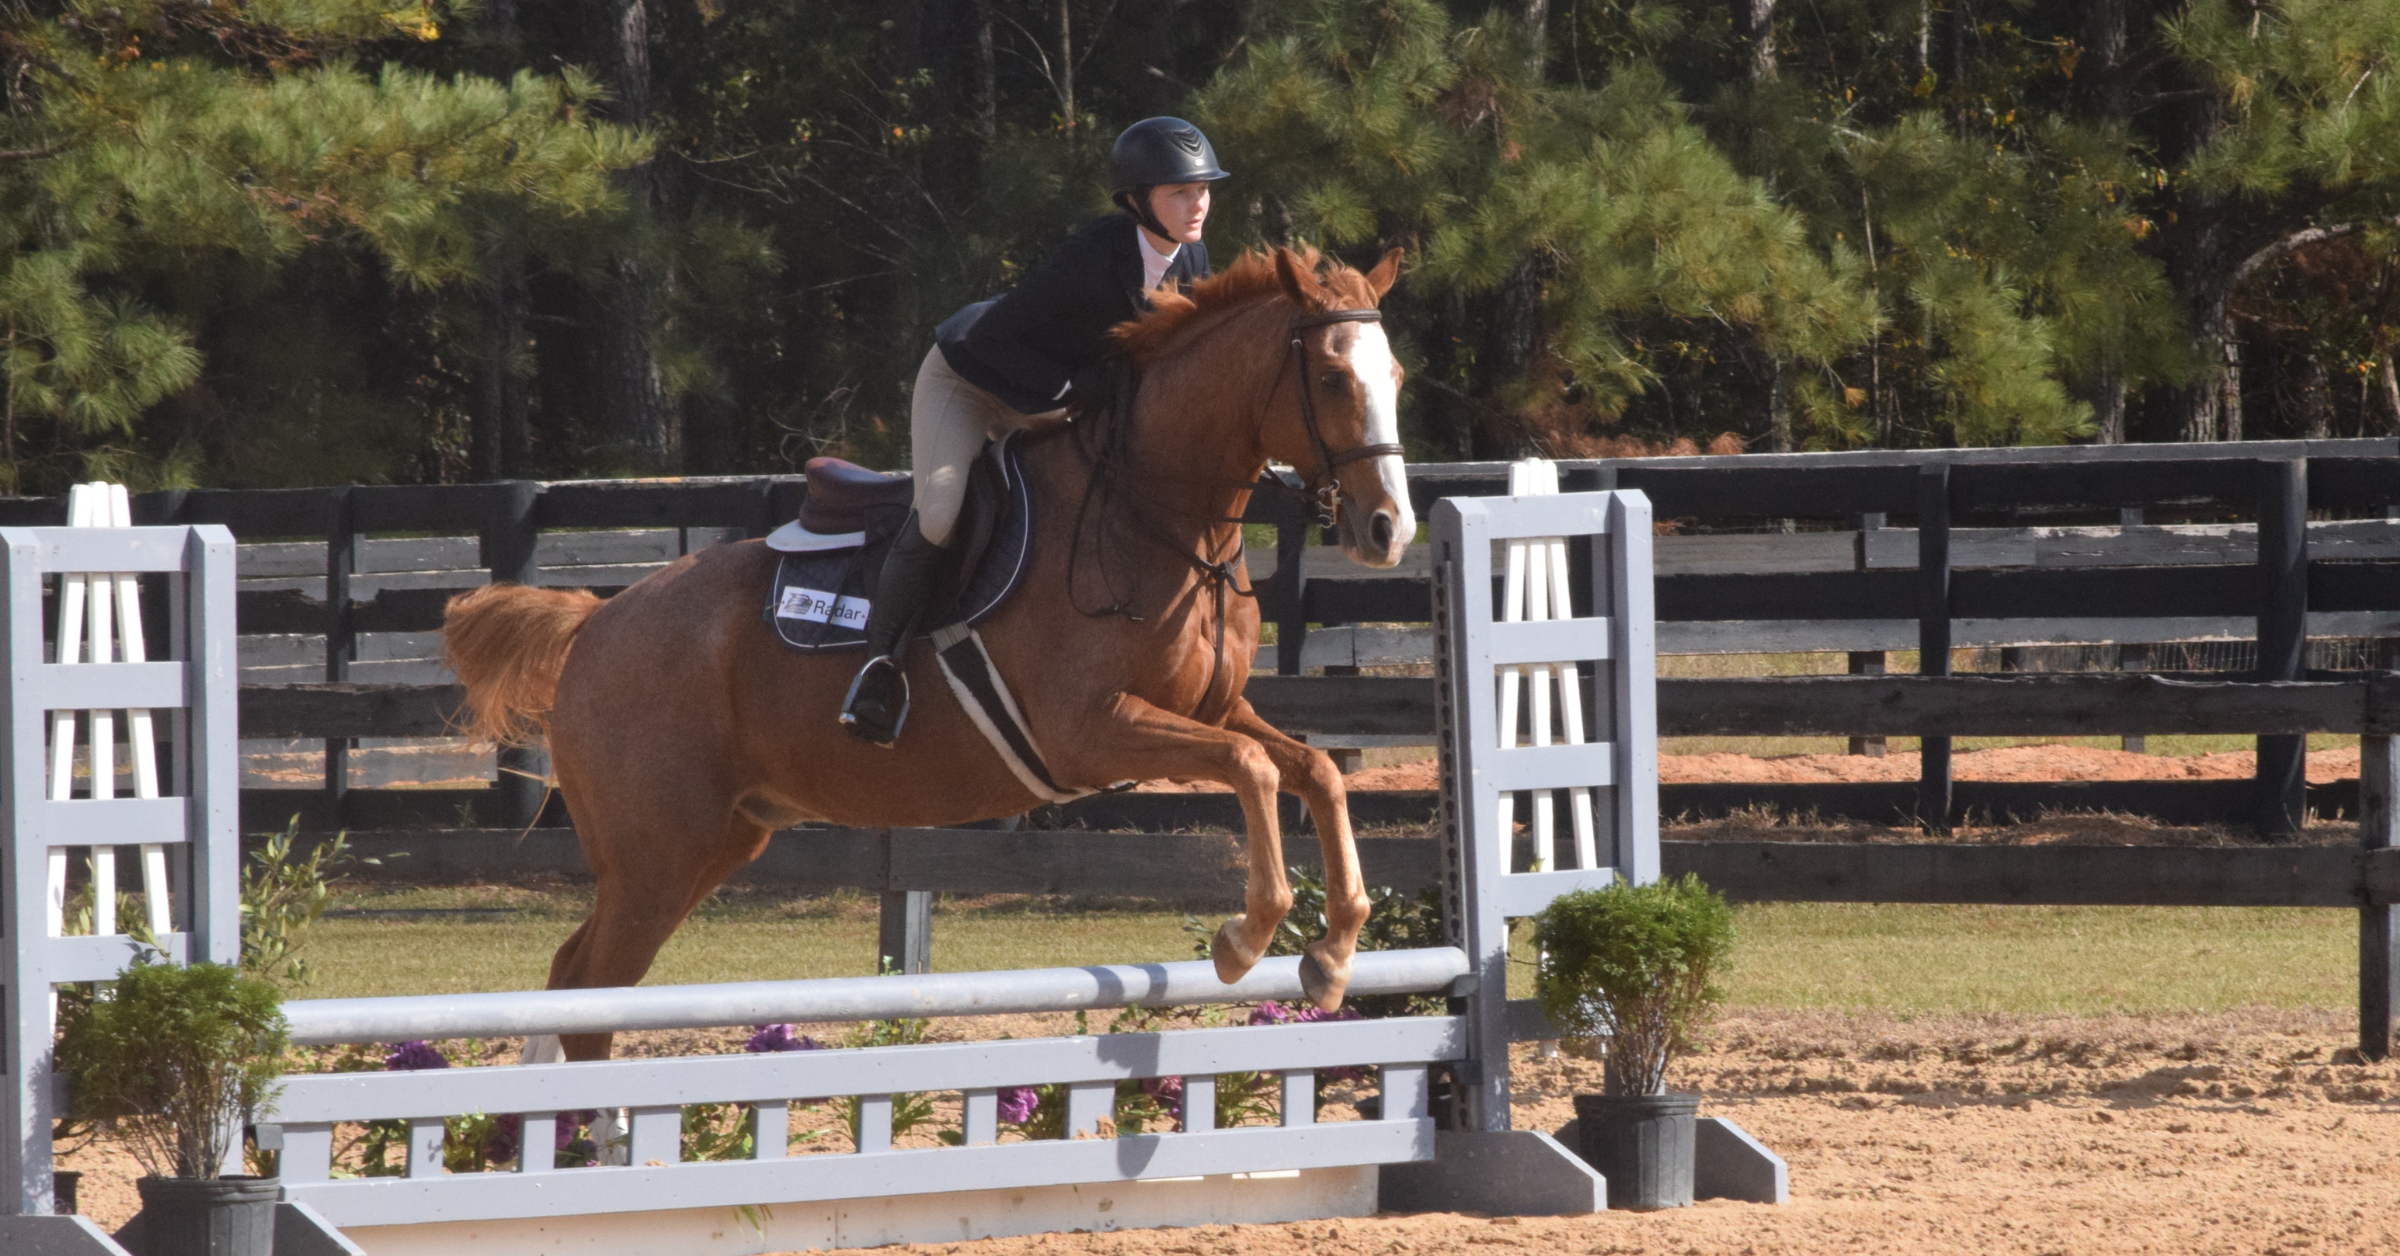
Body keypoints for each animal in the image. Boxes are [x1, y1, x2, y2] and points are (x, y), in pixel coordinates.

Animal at [442, 246, 1412, 1061]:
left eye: (1395, 376)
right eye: (1332, 377)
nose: (1387, 531)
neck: (1156, 515)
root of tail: (596, 622)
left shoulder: (1209, 710)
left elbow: (1315, 769)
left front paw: (1334, 953)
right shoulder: (1090, 734)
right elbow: (1253, 767)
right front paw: (1246, 939)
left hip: (719, 839)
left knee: (576, 979)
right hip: (657, 853)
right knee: (588, 989)